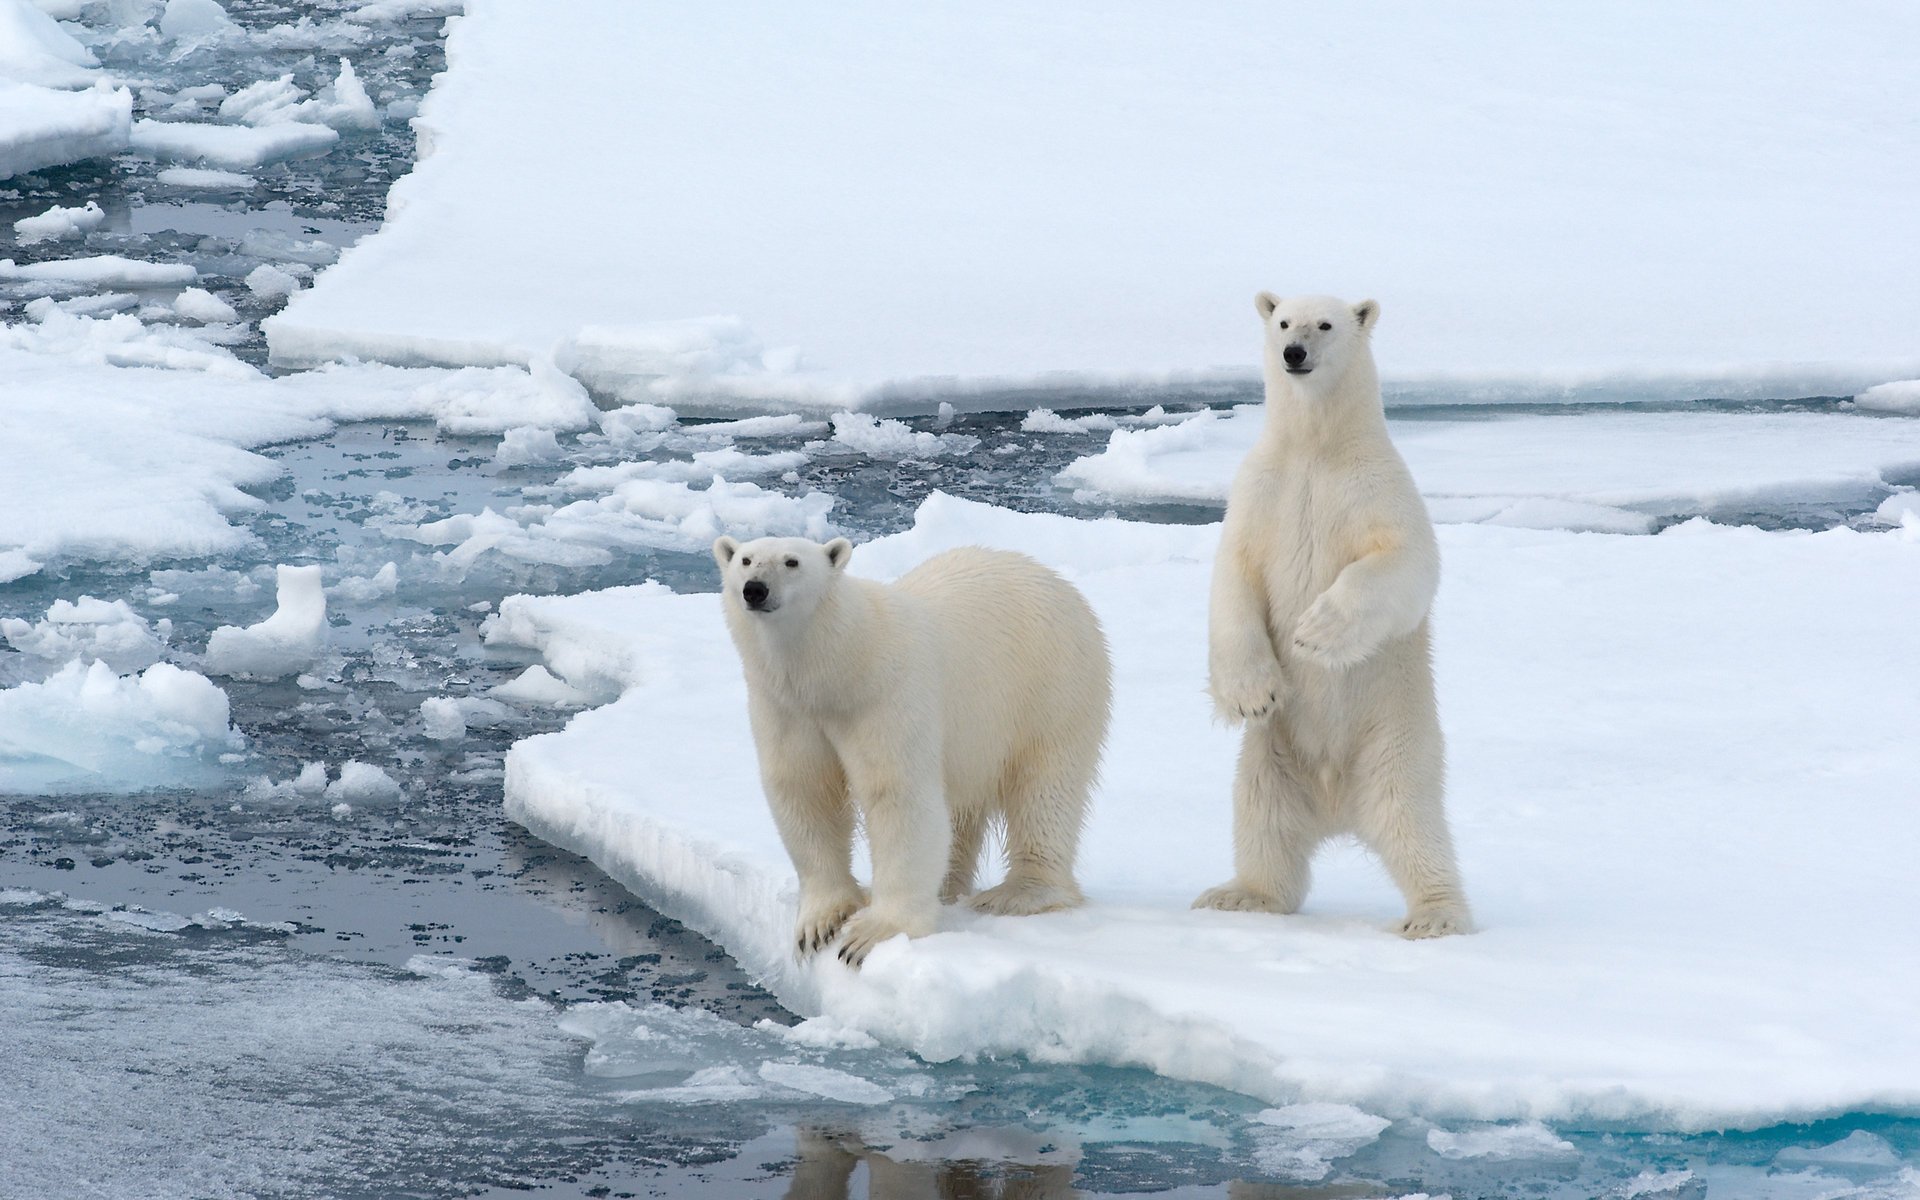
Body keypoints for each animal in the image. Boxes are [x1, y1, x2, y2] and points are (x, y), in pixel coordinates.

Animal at [718, 533, 1113, 963]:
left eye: (792, 562)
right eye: (745, 559)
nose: (755, 589)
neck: (841, 666)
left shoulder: (886, 696)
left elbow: (896, 795)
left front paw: (871, 933)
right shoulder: (786, 709)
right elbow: (804, 791)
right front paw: (821, 923)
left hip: (1051, 687)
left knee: (1044, 787)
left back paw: (1018, 893)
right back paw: (947, 887)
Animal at [1190, 289, 1474, 936]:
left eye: (1325, 324)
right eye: (1282, 322)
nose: (1294, 353)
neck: (1316, 450)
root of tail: (1336, 804)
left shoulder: (1377, 488)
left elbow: (1406, 560)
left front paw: (1317, 632)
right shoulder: (1259, 491)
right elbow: (1233, 577)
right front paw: (1253, 694)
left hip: (1394, 745)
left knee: (1414, 825)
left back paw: (1435, 915)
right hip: (1270, 759)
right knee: (1262, 821)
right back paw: (1240, 894)